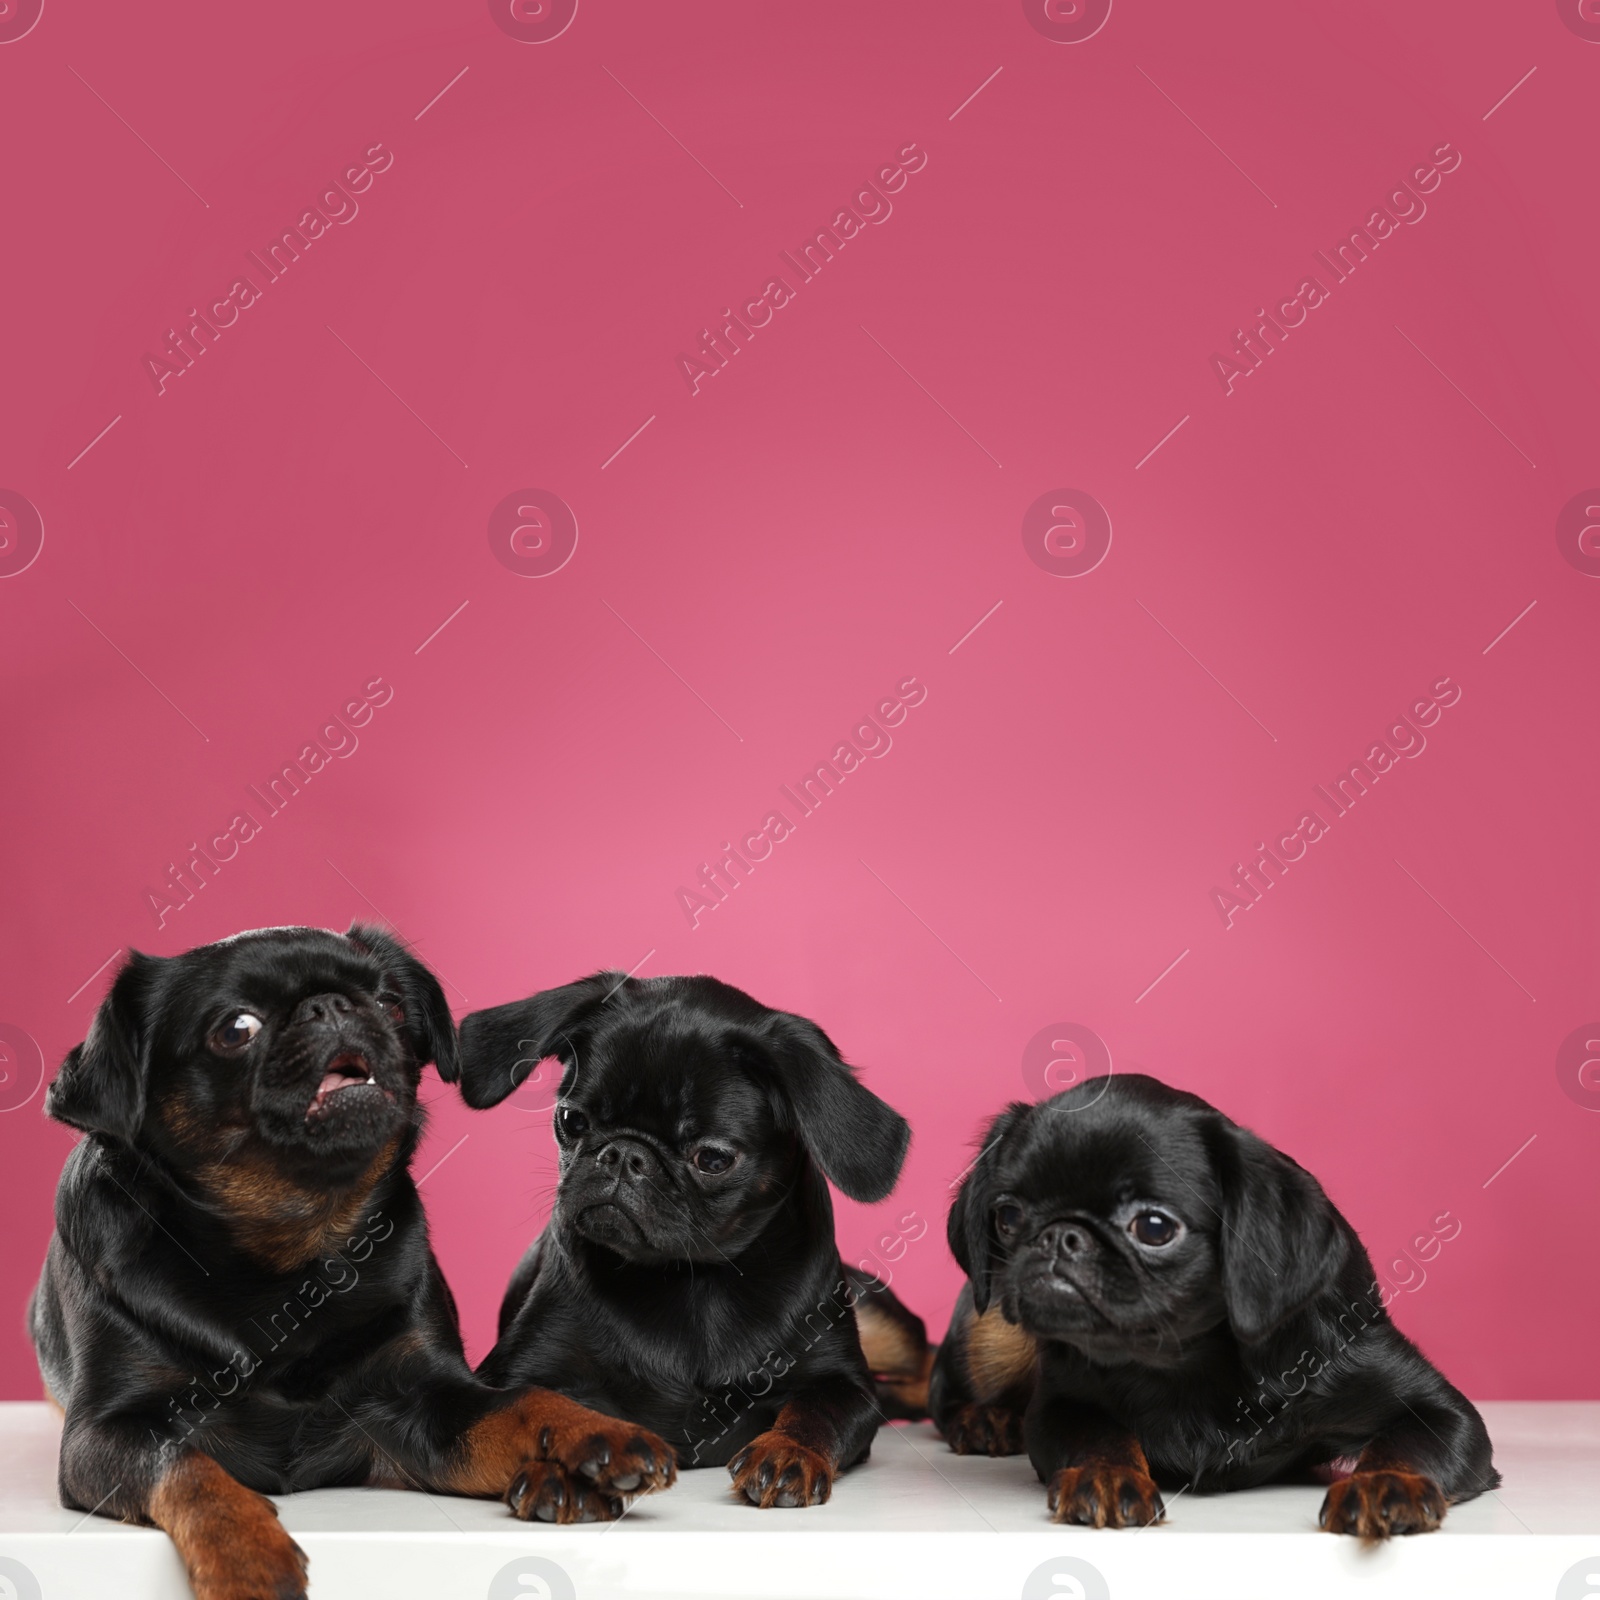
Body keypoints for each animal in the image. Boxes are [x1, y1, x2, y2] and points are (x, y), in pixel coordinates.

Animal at [32, 928, 668, 1600]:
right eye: (236, 1029)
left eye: (390, 1004)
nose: (332, 1004)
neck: (290, 1251)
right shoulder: (109, 1431)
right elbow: (187, 1470)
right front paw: (247, 1557)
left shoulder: (423, 1400)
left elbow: (521, 1402)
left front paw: (596, 1431)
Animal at [457, 966, 928, 1504]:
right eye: (571, 1121)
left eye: (713, 1158)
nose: (624, 1154)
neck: (693, 1277)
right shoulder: (514, 1374)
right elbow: (541, 1411)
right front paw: (564, 1469)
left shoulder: (846, 1386)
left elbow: (817, 1412)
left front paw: (788, 1450)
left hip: (883, 1324)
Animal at [934, 1075, 1491, 1536]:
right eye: (1007, 1216)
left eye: (1154, 1227)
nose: (1059, 1236)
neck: (1184, 1361)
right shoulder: (1059, 1407)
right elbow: (1098, 1436)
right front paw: (1106, 1473)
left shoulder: (1440, 1411)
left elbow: (1405, 1446)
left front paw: (1384, 1484)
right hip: (992, 1330)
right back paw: (986, 1420)